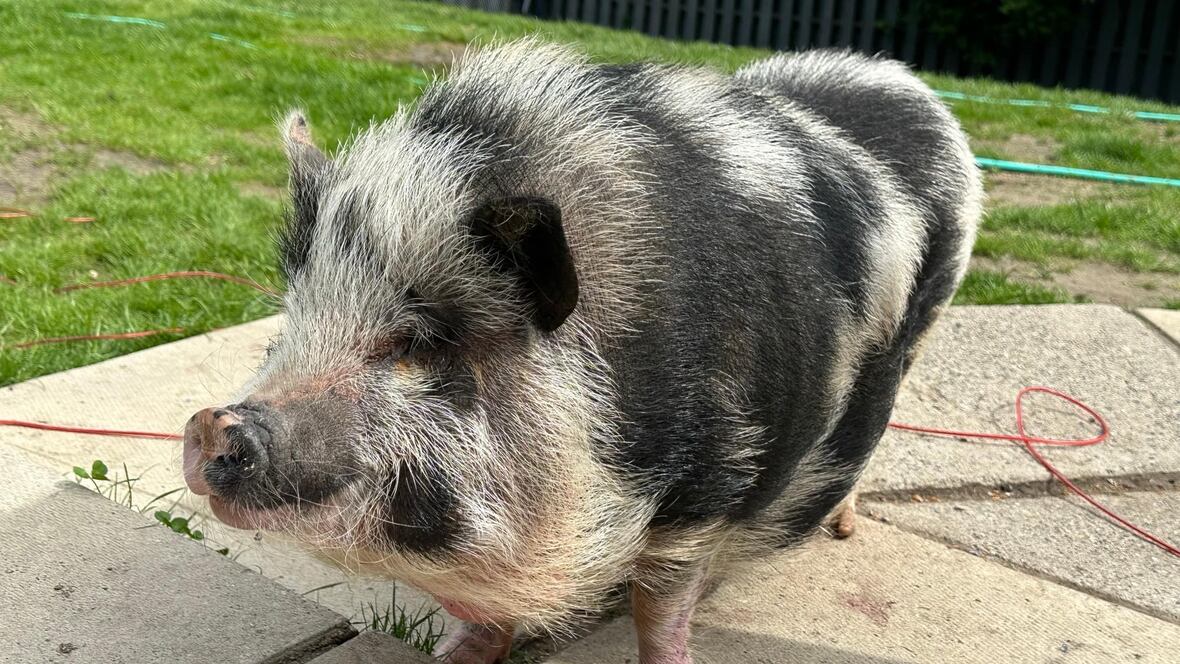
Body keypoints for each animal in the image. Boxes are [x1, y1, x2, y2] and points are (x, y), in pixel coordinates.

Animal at [182, 41, 980, 664]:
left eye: (420, 343)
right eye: (287, 327)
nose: (212, 422)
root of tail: (891, 75)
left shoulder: (707, 491)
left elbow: (661, 609)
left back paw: (843, 527)